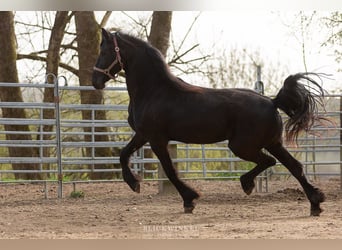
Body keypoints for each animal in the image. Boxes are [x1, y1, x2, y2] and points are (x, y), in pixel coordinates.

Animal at [92, 28, 328, 217]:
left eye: (104, 51)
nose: (95, 81)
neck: (153, 91)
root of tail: (272, 101)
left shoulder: (157, 139)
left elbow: (170, 170)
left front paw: (189, 199)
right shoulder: (143, 135)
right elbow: (123, 154)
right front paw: (134, 183)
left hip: (243, 146)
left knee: (270, 162)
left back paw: (248, 184)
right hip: (271, 143)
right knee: (294, 166)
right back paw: (315, 204)